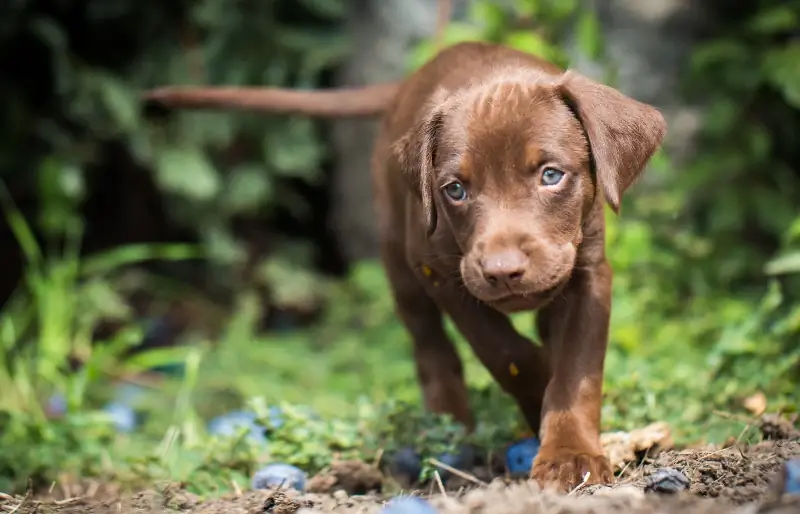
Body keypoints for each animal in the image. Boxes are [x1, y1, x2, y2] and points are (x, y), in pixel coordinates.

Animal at [142, 40, 664, 488]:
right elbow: (502, 350)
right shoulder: (443, 273)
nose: (501, 270)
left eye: (552, 175)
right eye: (455, 189)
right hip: (400, 264)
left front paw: (570, 454)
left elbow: (576, 369)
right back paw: (448, 423)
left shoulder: (589, 274)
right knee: (430, 346)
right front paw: (537, 385)